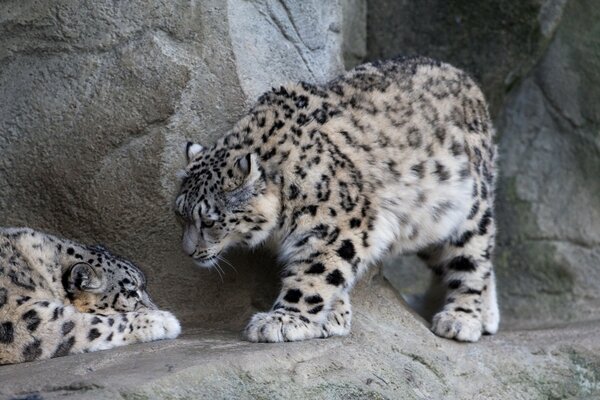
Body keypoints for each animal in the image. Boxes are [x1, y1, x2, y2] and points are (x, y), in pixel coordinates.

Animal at [176, 57, 500, 344]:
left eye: (209, 221)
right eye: (180, 214)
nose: (188, 252)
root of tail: (465, 77)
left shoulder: (339, 227)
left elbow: (315, 274)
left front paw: (282, 320)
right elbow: (335, 272)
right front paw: (334, 315)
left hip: (468, 209)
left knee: (473, 258)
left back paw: (462, 319)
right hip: (428, 220)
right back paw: (488, 315)